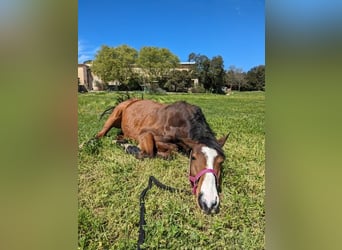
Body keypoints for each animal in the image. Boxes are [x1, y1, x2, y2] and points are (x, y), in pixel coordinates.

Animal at [96, 98, 228, 214]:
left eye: (221, 161)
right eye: (194, 157)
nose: (209, 204)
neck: (179, 122)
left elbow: (172, 150)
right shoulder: (145, 133)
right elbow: (151, 152)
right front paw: (130, 147)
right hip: (114, 116)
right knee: (100, 135)